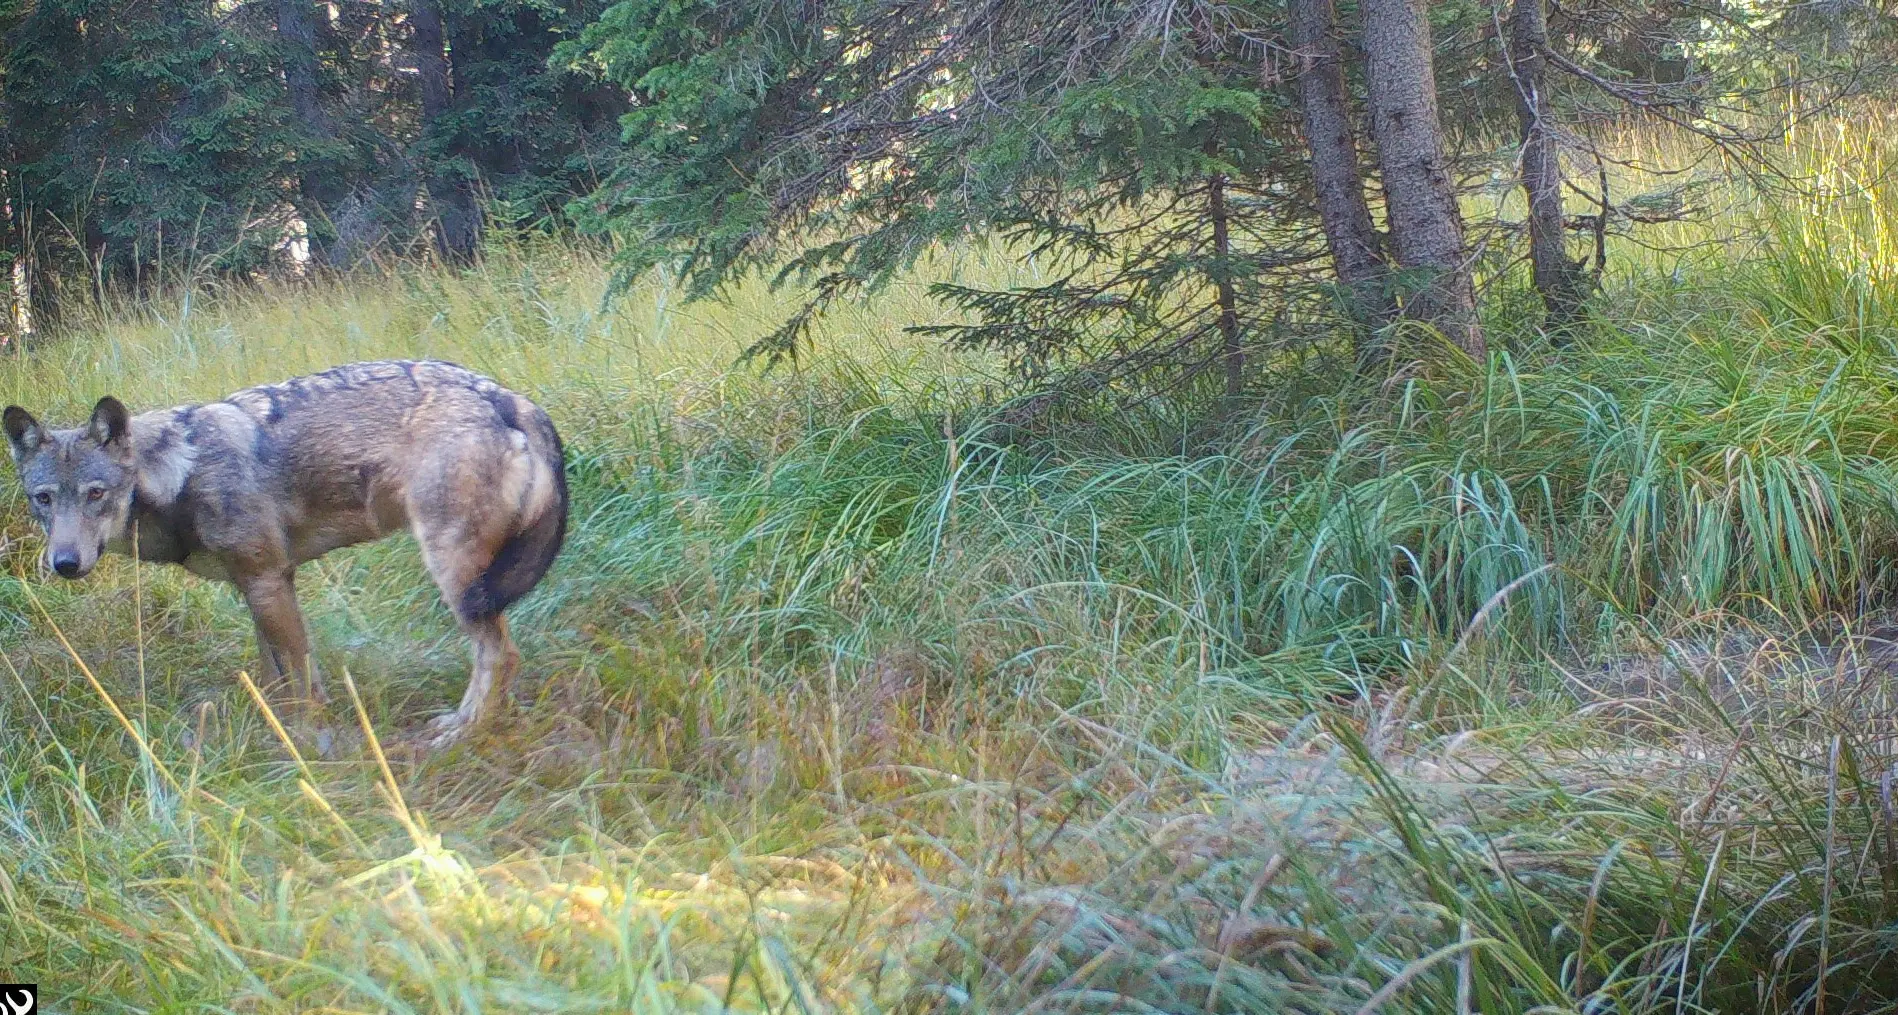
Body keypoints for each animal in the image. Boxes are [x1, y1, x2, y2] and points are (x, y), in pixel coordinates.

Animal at [3, 359, 568, 745]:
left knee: (501, 655)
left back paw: (460, 734)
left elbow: (298, 682)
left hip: (458, 580)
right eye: (44, 499)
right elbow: (277, 679)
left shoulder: (267, 581)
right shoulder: (261, 585)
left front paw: (311, 745)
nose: (64, 564)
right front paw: (277, 738)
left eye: (96, 494)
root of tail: (510, 399)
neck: (179, 475)